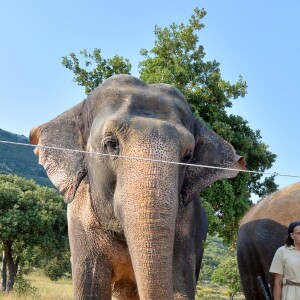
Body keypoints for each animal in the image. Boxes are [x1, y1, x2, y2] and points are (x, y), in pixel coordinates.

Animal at [29, 74, 246, 298]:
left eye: (188, 155)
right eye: (111, 144)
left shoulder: (188, 226)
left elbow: (181, 289)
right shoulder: (79, 220)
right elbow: (89, 290)